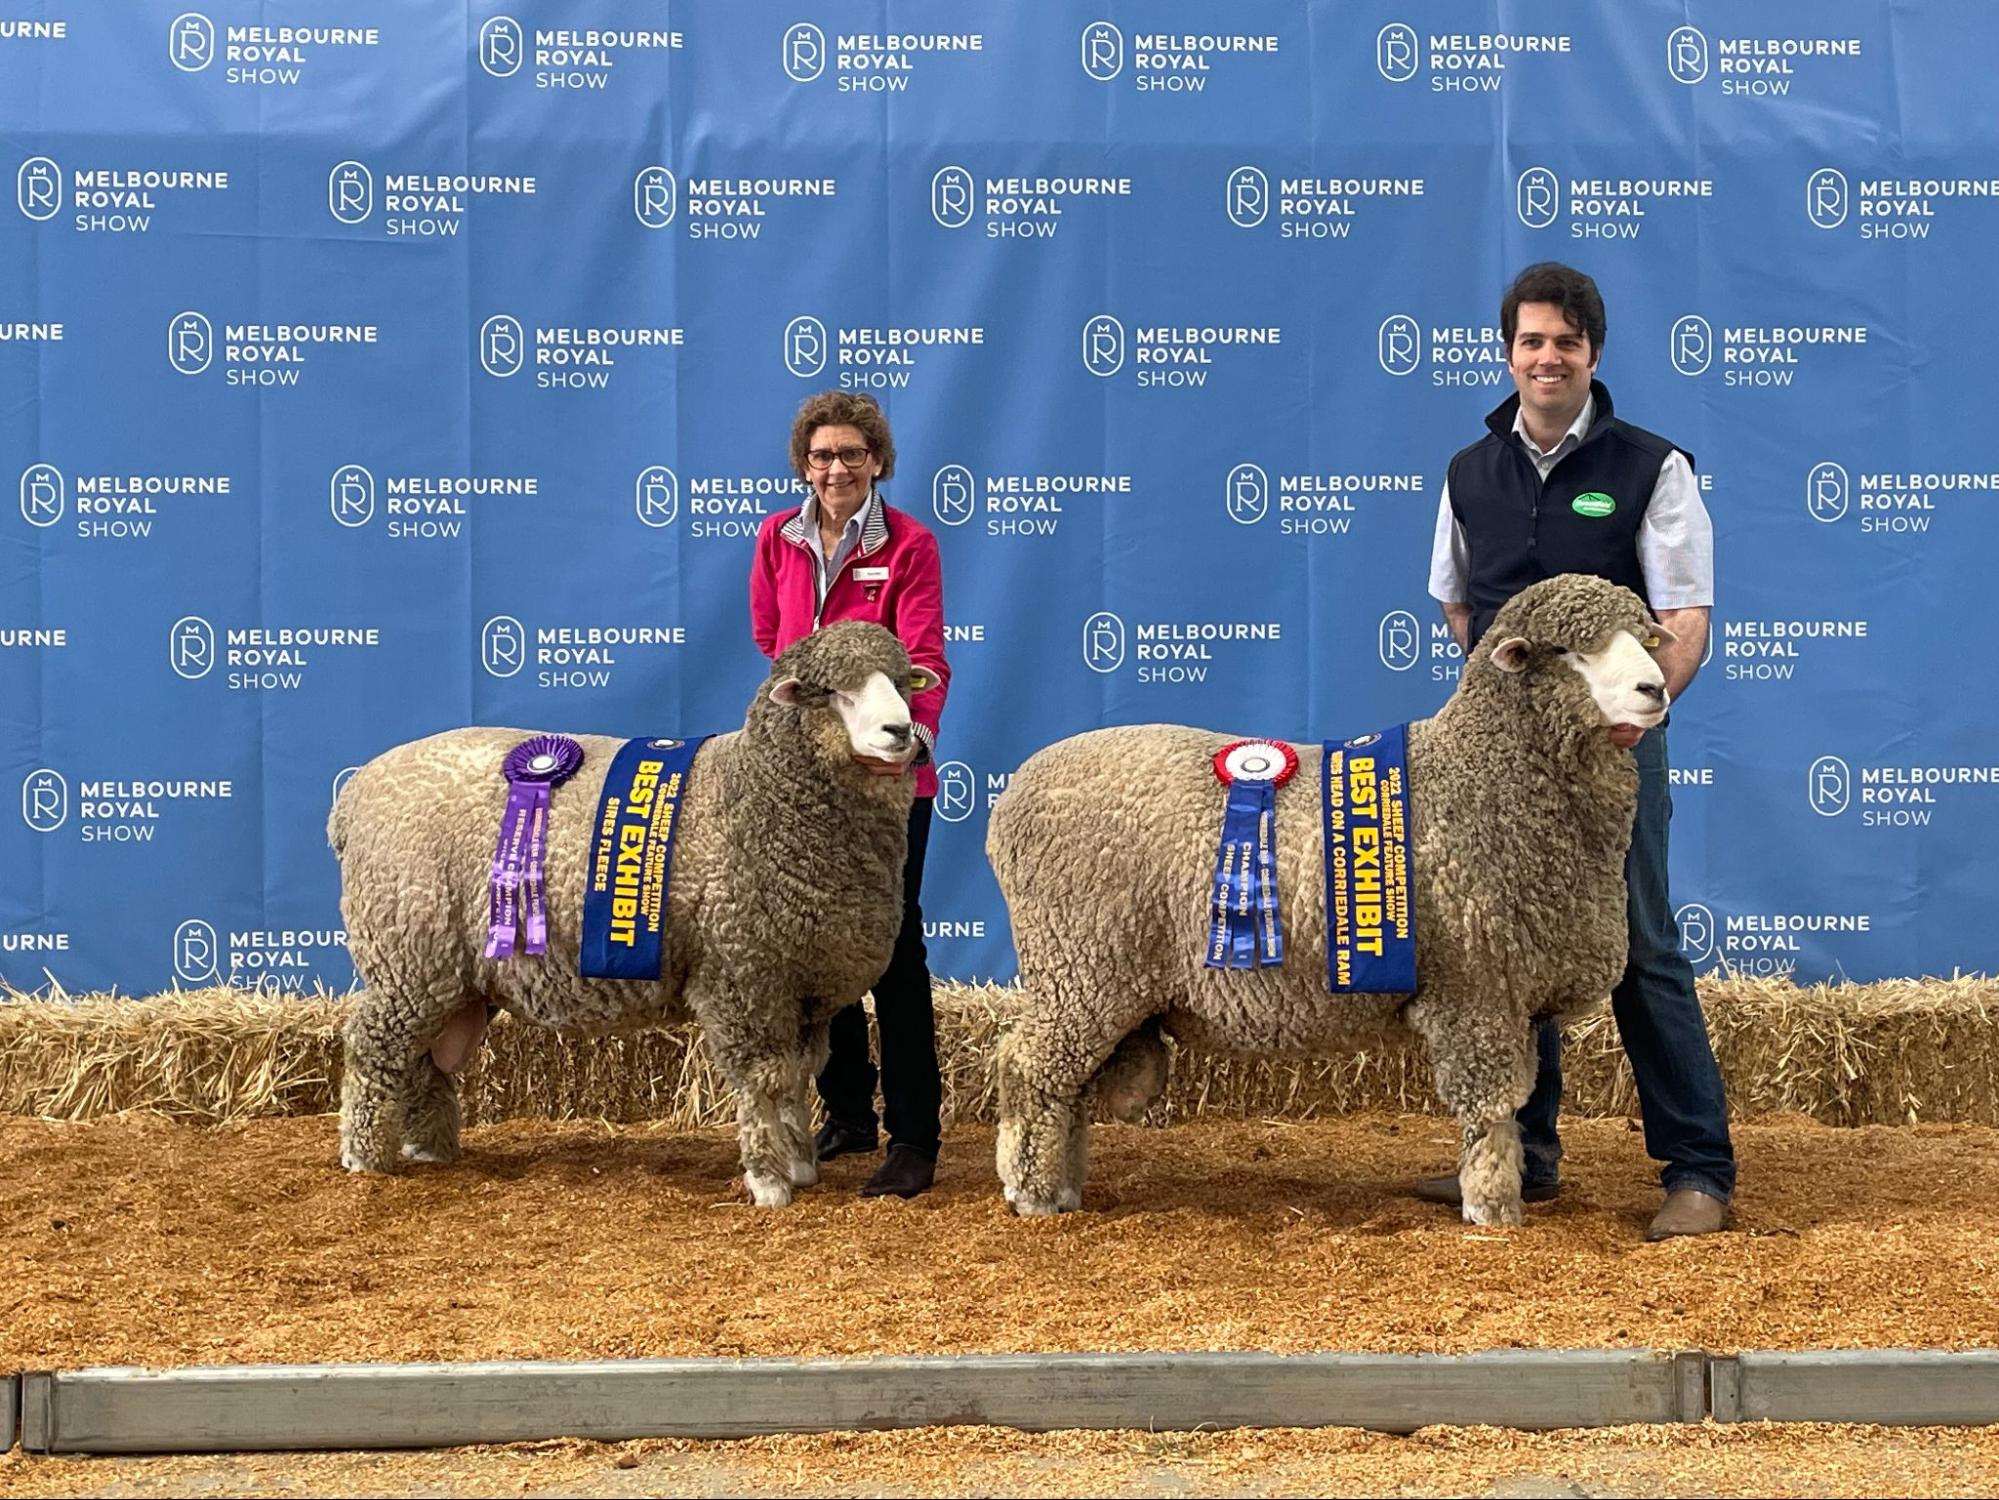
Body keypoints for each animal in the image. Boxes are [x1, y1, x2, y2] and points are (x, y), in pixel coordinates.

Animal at [327, 624, 927, 1208]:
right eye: (835, 691)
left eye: (902, 681)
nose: (901, 732)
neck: (750, 795)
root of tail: (353, 796)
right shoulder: (742, 977)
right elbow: (763, 1081)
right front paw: (768, 1179)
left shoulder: (802, 987)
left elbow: (797, 1078)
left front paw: (799, 1160)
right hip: (407, 952)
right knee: (373, 1046)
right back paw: (363, 1155)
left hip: (447, 974)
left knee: (420, 1057)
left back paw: (429, 1146)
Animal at [987, 568, 1671, 1224]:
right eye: (1570, 651)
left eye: (1645, 637)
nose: (1656, 689)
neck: (1480, 775)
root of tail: (1012, 795)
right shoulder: (1474, 990)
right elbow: (1491, 1108)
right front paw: (1494, 1206)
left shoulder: (1510, 994)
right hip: (1082, 966)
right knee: (1030, 1069)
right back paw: (1032, 1193)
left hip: (1088, 978)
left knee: (1065, 1087)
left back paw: (1064, 1186)